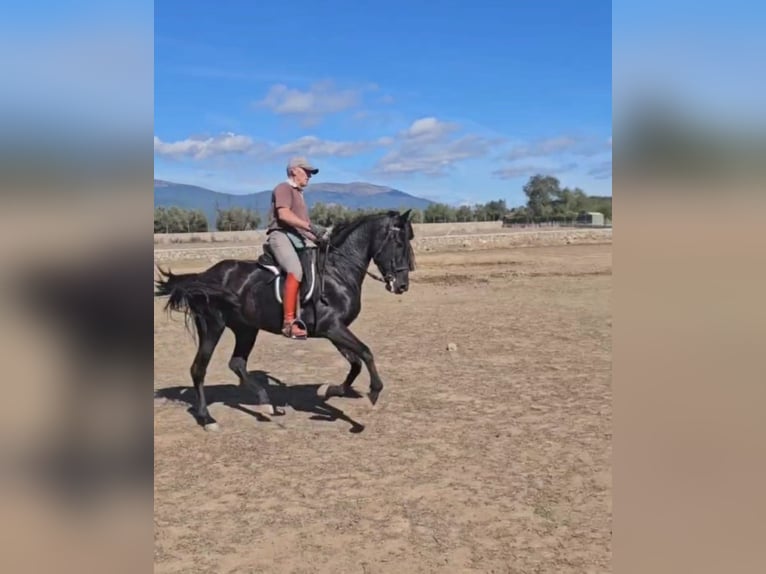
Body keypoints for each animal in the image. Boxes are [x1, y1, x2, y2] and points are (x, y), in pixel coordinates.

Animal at [154, 212, 414, 432]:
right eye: (399, 244)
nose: (402, 286)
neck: (337, 271)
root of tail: (204, 275)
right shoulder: (333, 328)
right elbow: (366, 352)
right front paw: (374, 392)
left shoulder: (334, 330)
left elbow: (355, 363)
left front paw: (329, 391)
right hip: (212, 327)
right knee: (199, 369)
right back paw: (208, 419)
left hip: (246, 329)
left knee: (237, 363)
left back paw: (266, 403)